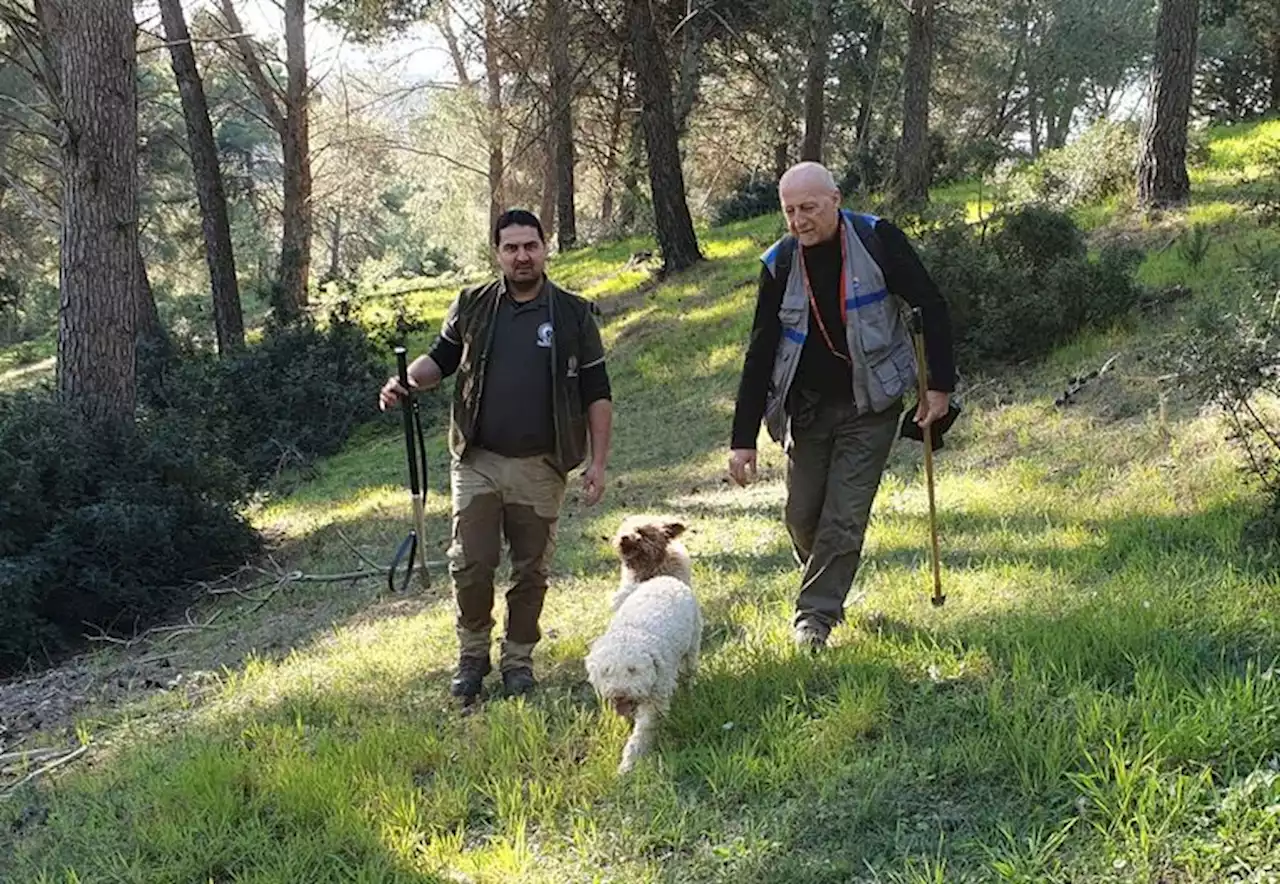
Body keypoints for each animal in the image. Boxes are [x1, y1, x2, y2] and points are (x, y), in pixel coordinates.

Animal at [586, 519, 706, 772]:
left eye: (634, 670)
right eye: (607, 671)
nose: (620, 695)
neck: (633, 631)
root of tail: (663, 579)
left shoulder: (655, 699)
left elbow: (642, 732)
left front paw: (629, 764)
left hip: (692, 645)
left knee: (688, 672)